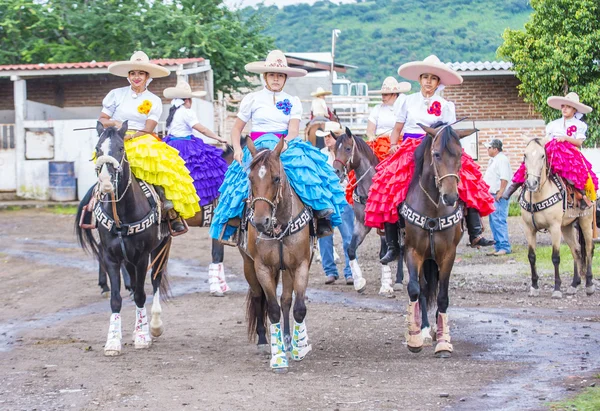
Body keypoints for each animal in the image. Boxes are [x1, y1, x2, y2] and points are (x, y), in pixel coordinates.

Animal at [75, 122, 170, 358]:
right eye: (98, 149)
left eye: (120, 148)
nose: (106, 183)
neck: (122, 215)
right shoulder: (111, 257)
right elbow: (116, 299)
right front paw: (113, 341)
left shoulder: (142, 257)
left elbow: (141, 294)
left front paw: (143, 337)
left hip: (160, 248)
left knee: (155, 280)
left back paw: (153, 326)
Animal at [240, 138, 314, 374]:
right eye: (250, 178)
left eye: (276, 178)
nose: (260, 221)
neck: (279, 225)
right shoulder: (262, 268)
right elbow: (272, 309)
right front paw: (278, 357)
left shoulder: (300, 265)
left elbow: (298, 308)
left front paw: (299, 348)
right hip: (249, 266)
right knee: (258, 297)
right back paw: (266, 342)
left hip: (288, 268)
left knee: (287, 300)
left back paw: (290, 340)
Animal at [330, 127, 406, 298]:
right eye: (334, 149)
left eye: (348, 148)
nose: (336, 171)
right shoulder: (361, 225)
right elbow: (351, 249)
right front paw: (359, 282)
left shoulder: (384, 227)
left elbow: (383, 254)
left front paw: (386, 285)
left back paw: (399, 280)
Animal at [404, 121, 478, 358]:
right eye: (436, 155)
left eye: (460, 156)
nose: (451, 197)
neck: (434, 209)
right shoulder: (413, 252)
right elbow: (415, 289)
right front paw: (415, 337)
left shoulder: (448, 255)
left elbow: (443, 296)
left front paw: (444, 342)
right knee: (423, 288)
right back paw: (425, 329)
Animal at [516, 138, 592, 300]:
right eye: (525, 155)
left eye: (542, 156)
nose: (531, 184)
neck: (537, 196)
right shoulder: (528, 229)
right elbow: (531, 256)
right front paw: (534, 287)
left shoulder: (554, 228)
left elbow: (555, 257)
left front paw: (557, 289)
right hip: (567, 226)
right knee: (576, 250)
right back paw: (574, 285)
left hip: (585, 222)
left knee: (588, 250)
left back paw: (589, 285)